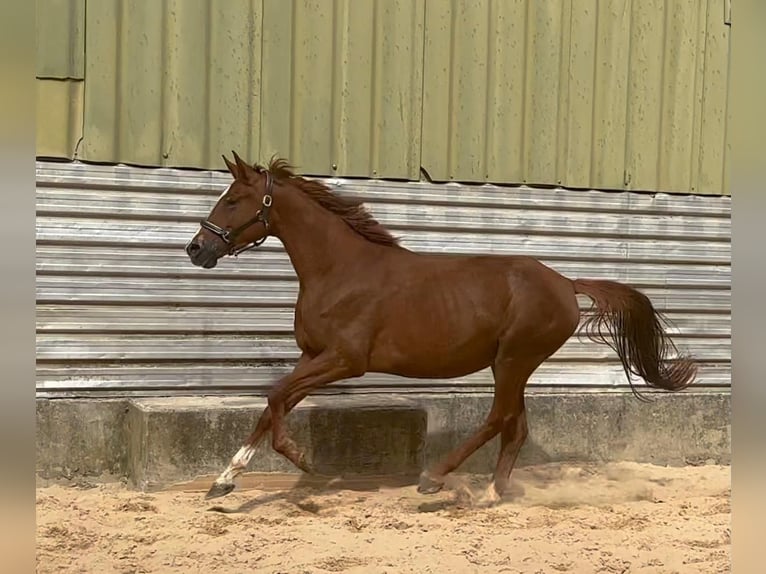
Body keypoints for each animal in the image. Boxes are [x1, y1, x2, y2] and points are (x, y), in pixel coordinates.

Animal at [184, 153, 696, 504]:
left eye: (233, 200)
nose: (196, 249)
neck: (339, 270)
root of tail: (566, 284)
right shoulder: (313, 357)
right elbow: (271, 404)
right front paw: (222, 482)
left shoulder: (344, 360)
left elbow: (274, 398)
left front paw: (302, 459)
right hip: (512, 364)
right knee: (515, 426)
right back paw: (492, 493)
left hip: (514, 360)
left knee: (498, 419)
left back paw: (434, 479)